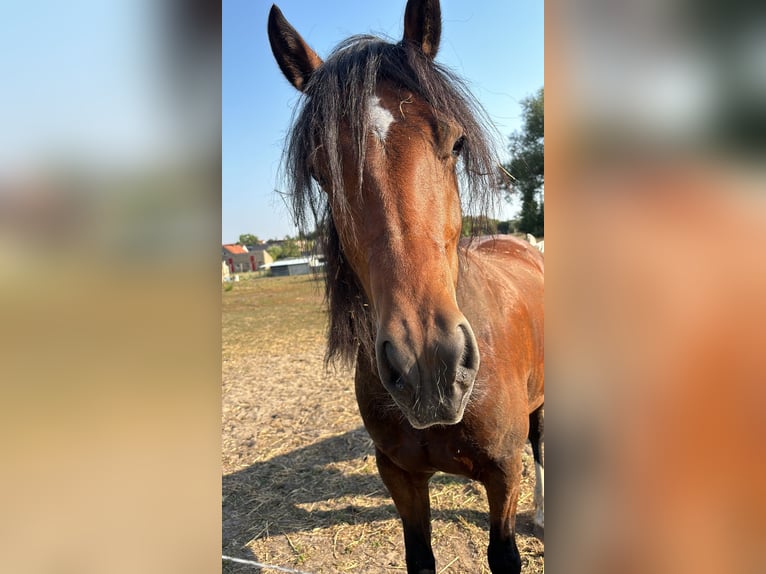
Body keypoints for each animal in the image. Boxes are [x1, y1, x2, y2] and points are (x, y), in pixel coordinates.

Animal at [268, 2, 544, 572]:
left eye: (456, 142)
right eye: (320, 170)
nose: (428, 366)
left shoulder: (505, 472)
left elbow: (504, 552)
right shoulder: (399, 476)